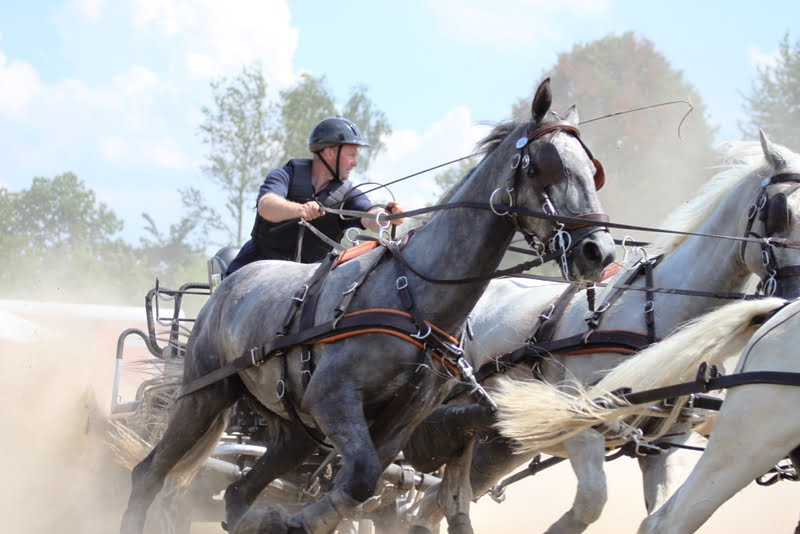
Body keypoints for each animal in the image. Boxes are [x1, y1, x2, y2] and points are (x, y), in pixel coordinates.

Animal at [120, 79, 620, 534]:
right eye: (545, 165)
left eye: (593, 169)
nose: (600, 251)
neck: (414, 293)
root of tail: (226, 287)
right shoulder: (333, 396)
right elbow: (359, 479)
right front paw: (300, 521)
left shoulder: (403, 418)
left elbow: (366, 482)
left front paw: (298, 520)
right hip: (203, 396)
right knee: (148, 475)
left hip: (294, 433)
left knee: (239, 492)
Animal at [406, 131, 800, 534]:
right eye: (783, 213)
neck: (653, 318)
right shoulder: (581, 425)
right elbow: (592, 502)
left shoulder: (668, 443)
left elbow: (659, 515)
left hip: (500, 442)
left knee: (435, 502)